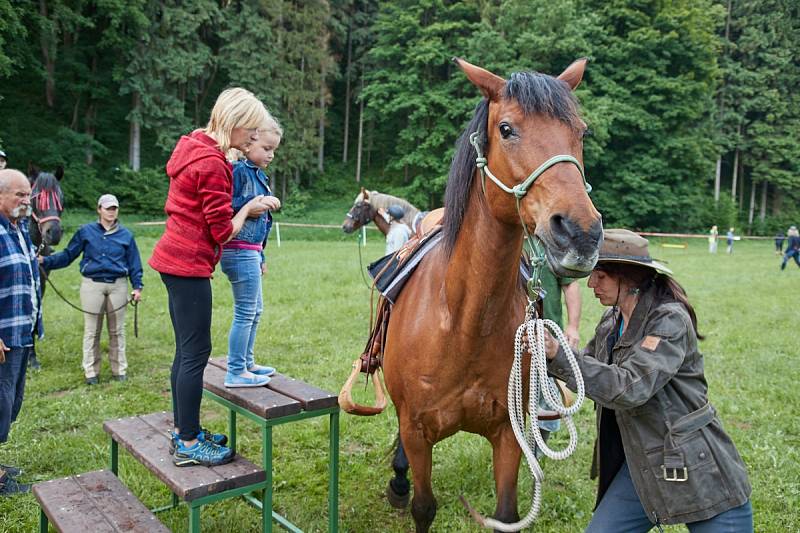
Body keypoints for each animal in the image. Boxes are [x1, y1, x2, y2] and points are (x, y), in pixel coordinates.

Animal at [382, 59, 600, 532]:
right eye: (506, 128)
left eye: (581, 132)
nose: (580, 233)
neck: (464, 320)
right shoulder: (417, 430)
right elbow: (423, 506)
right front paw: (404, 487)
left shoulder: (508, 433)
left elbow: (506, 513)